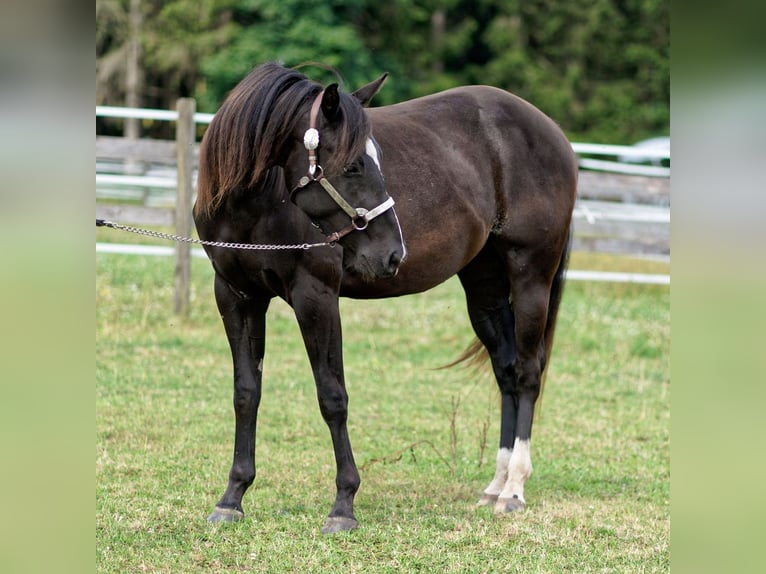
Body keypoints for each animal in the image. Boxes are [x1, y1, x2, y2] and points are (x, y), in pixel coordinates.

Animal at [193, 62, 578, 534]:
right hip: (484, 283)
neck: (261, 200)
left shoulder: (315, 294)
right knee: (505, 370)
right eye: (355, 165)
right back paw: (495, 485)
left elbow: (332, 396)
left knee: (527, 372)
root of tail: (552, 132)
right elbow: (246, 393)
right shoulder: (235, 295)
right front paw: (232, 497)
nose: (394, 253)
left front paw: (343, 505)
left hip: (530, 276)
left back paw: (514, 489)